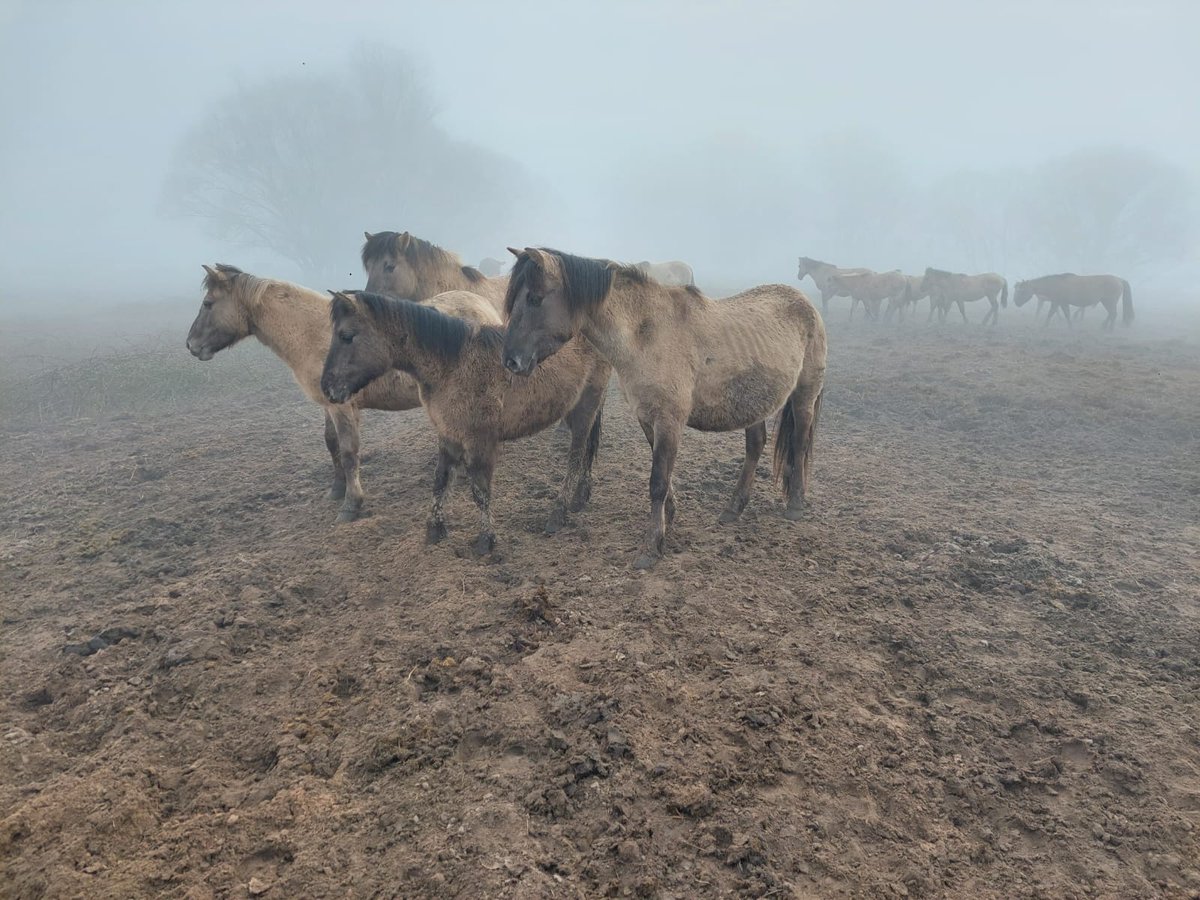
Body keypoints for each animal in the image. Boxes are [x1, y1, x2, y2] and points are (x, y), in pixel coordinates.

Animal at [185, 264, 500, 523]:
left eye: (208, 304)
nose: (191, 345)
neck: (313, 334)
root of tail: (483, 305)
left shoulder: (343, 406)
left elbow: (349, 453)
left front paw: (351, 504)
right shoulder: (328, 403)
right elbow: (331, 443)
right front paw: (336, 489)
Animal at [321, 290, 609, 556]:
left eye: (346, 336)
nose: (327, 388)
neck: (452, 366)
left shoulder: (481, 441)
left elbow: (480, 491)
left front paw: (486, 541)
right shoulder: (448, 434)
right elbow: (440, 480)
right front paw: (434, 530)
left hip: (586, 405)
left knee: (576, 455)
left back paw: (559, 513)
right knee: (587, 451)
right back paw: (580, 497)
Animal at [501, 248, 827, 569]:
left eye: (535, 298)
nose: (511, 360)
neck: (647, 334)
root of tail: (805, 303)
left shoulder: (669, 420)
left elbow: (657, 481)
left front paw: (651, 546)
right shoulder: (648, 418)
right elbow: (663, 476)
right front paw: (669, 516)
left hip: (804, 395)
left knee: (799, 441)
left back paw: (795, 504)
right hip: (752, 403)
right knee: (755, 445)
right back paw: (734, 508)